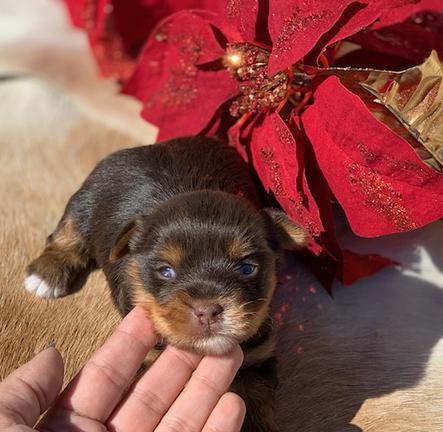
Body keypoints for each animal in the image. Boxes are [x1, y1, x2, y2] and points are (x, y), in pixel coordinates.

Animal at [24, 136, 306, 432]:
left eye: (247, 268)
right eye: (166, 271)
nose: (207, 311)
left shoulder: (257, 360)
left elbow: (255, 406)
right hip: (87, 199)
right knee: (69, 232)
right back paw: (46, 274)